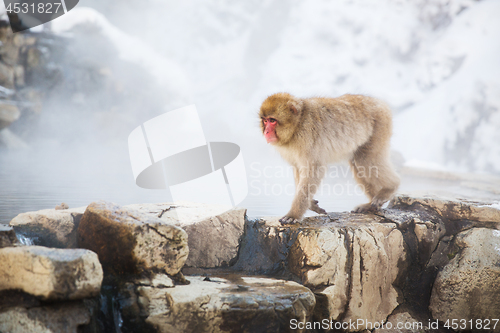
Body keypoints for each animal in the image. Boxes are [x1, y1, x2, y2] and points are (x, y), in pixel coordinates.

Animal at [260, 92, 400, 224]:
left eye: (272, 120)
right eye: (265, 120)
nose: (266, 132)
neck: (298, 124)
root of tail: (381, 103)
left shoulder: (308, 137)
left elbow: (313, 170)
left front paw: (293, 214)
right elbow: (298, 169)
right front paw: (311, 204)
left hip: (380, 126)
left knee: (365, 160)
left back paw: (389, 188)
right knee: (357, 162)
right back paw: (371, 205)